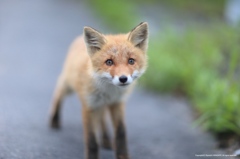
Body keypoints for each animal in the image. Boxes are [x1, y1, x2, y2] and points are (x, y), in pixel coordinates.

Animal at [49, 22, 148, 159]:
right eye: (109, 62)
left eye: (131, 61)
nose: (123, 78)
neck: (109, 92)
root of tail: (79, 38)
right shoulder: (89, 106)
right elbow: (92, 140)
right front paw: (92, 156)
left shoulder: (117, 103)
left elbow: (121, 132)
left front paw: (123, 155)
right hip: (68, 86)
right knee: (58, 93)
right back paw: (54, 119)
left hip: (101, 105)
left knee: (102, 120)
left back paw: (106, 140)